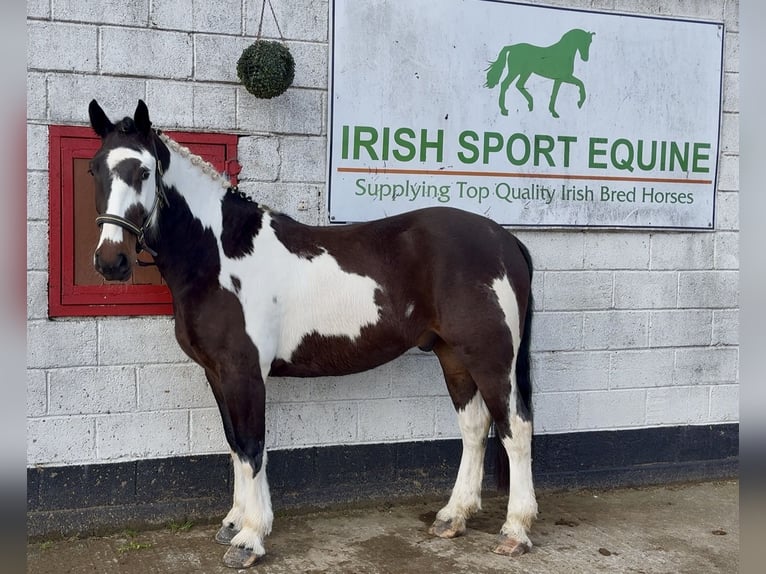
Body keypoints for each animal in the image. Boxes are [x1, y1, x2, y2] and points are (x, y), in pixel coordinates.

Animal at [86, 99, 537, 568]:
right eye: (94, 169)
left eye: (144, 171)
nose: (111, 261)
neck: (220, 256)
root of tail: (505, 240)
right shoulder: (216, 373)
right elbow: (234, 444)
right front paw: (233, 522)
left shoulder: (244, 372)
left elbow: (252, 446)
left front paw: (249, 538)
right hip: (453, 354)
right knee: (475, 425)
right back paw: (453, 516)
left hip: (490, 357)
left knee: (515, 427)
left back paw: (515, 531)